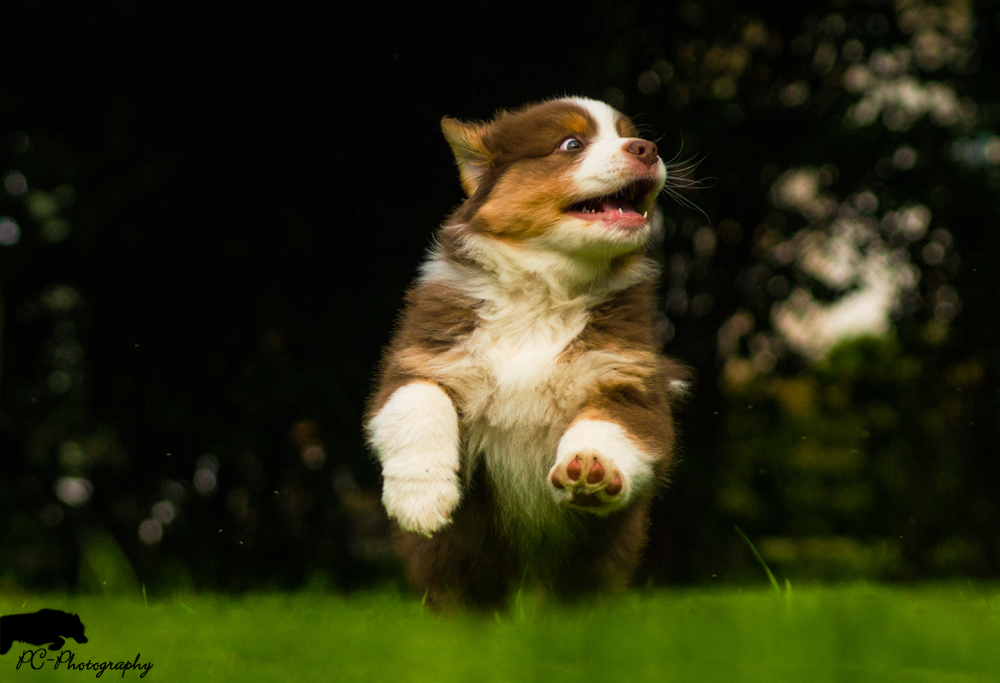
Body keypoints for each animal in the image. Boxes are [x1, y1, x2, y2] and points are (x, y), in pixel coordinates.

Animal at [368, 96, 688, 608]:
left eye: (627, 134)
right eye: (571, 144)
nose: (647, 148)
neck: (544, 293)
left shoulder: (630, 379)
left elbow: (614, 425)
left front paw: (593, 468)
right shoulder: (419, 357)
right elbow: (418, 401)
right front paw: (421, 500)